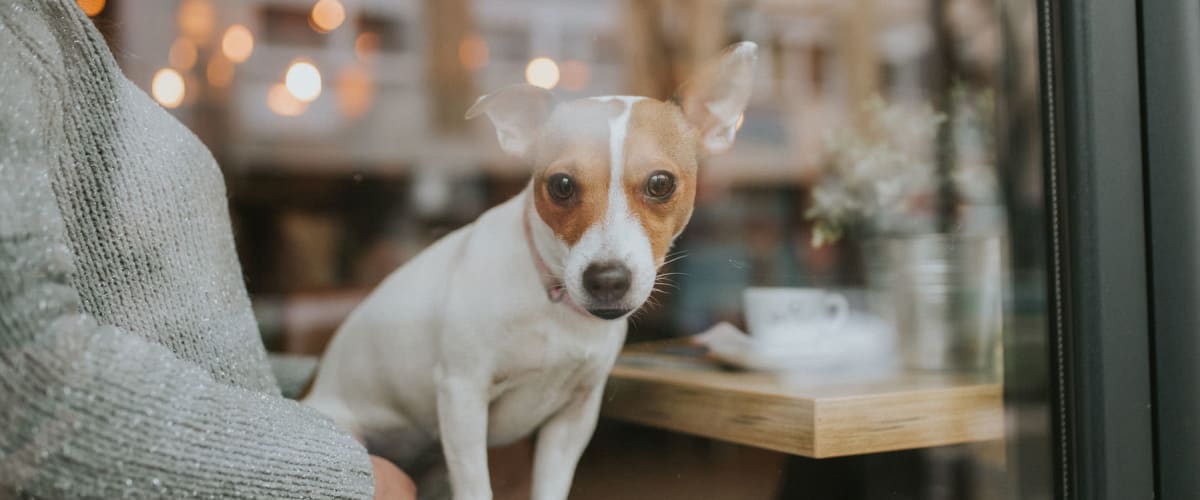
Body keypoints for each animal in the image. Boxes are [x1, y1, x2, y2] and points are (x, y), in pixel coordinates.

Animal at [307, 40, 758, 496]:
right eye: (561, 185)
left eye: (661, 183)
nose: (606, 280)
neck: (553, 304)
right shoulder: (462, 396)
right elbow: (477, 488)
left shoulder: (573, 418)